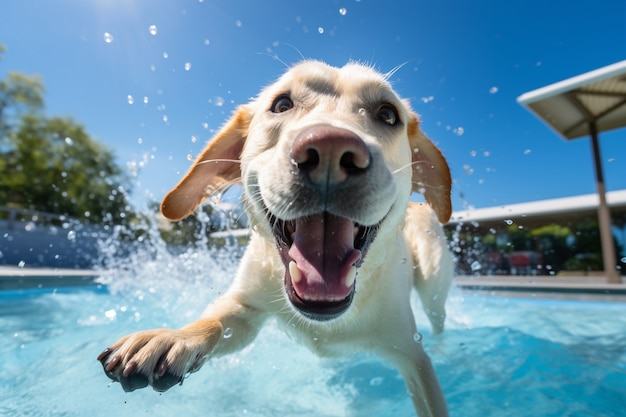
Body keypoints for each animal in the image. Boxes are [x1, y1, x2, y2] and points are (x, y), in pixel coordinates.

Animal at [95, 60, 450, 414]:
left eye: (388, 114)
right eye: (281, 104)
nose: (331, 148)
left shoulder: (411, 355)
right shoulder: (244, 305)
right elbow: (216, 322)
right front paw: (174, 337)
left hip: (433, 284)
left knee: (438, 319)